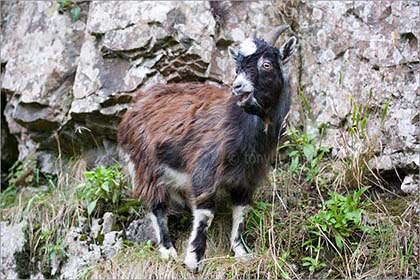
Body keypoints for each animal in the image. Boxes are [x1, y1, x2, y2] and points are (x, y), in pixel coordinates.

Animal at [116, 26, 296, 272]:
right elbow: (205, 213)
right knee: (156, 205)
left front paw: (241, 252)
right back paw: (168, 250)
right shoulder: (205, 169)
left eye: (266, 64)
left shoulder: (247, 177)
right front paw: (194, 260)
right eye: (237, 67)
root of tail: (135, 106)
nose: (238, 87)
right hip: (145, 164)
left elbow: (241, 211)